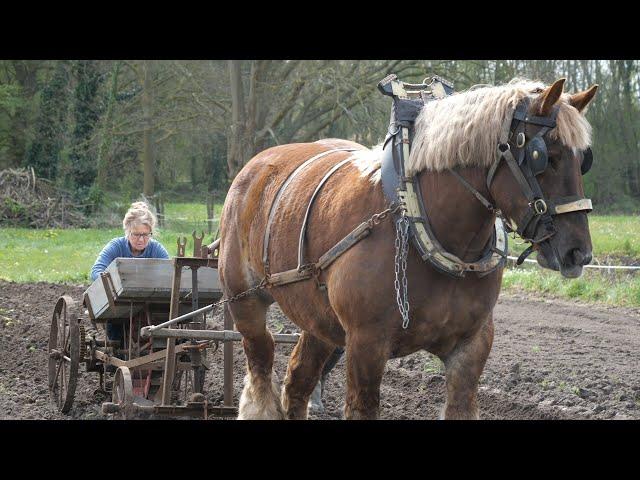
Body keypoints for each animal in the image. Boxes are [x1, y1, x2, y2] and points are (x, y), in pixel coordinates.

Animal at [218, 77, 596, 418]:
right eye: (543, 155)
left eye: (584, 159)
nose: (579, 253)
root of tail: (256, 165)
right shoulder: (366, 345)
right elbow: (361, 407)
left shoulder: (471, 346)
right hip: (246, 304)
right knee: (262, 365)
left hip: (319, 320)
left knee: (298, 381)